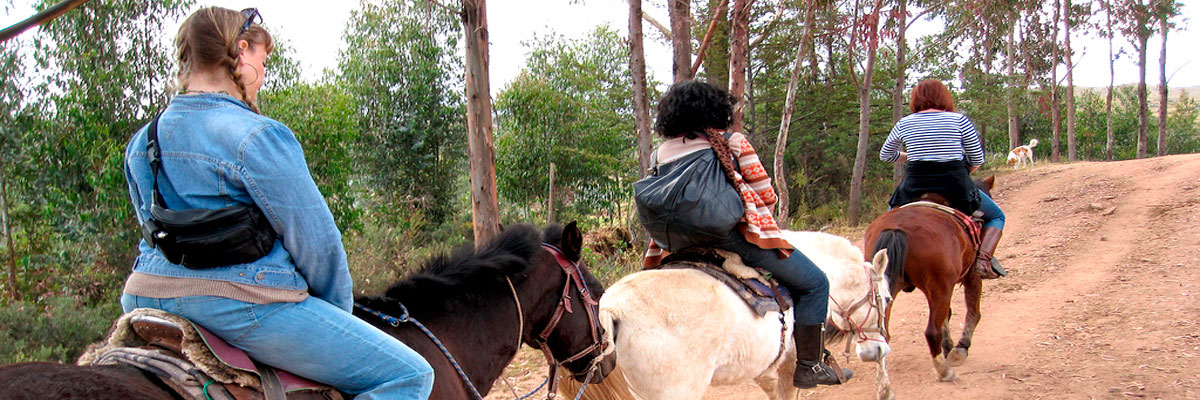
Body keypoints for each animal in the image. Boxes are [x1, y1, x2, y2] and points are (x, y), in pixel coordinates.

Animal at [864, 174, 993, 379]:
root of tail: (898, 228)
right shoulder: (971, 277)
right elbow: (973, 312)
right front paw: (960, 349)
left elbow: (947, 316)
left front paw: (949, 347)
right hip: (940, 288)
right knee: (932, 331)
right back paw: (944, 371)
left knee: (882, 333)